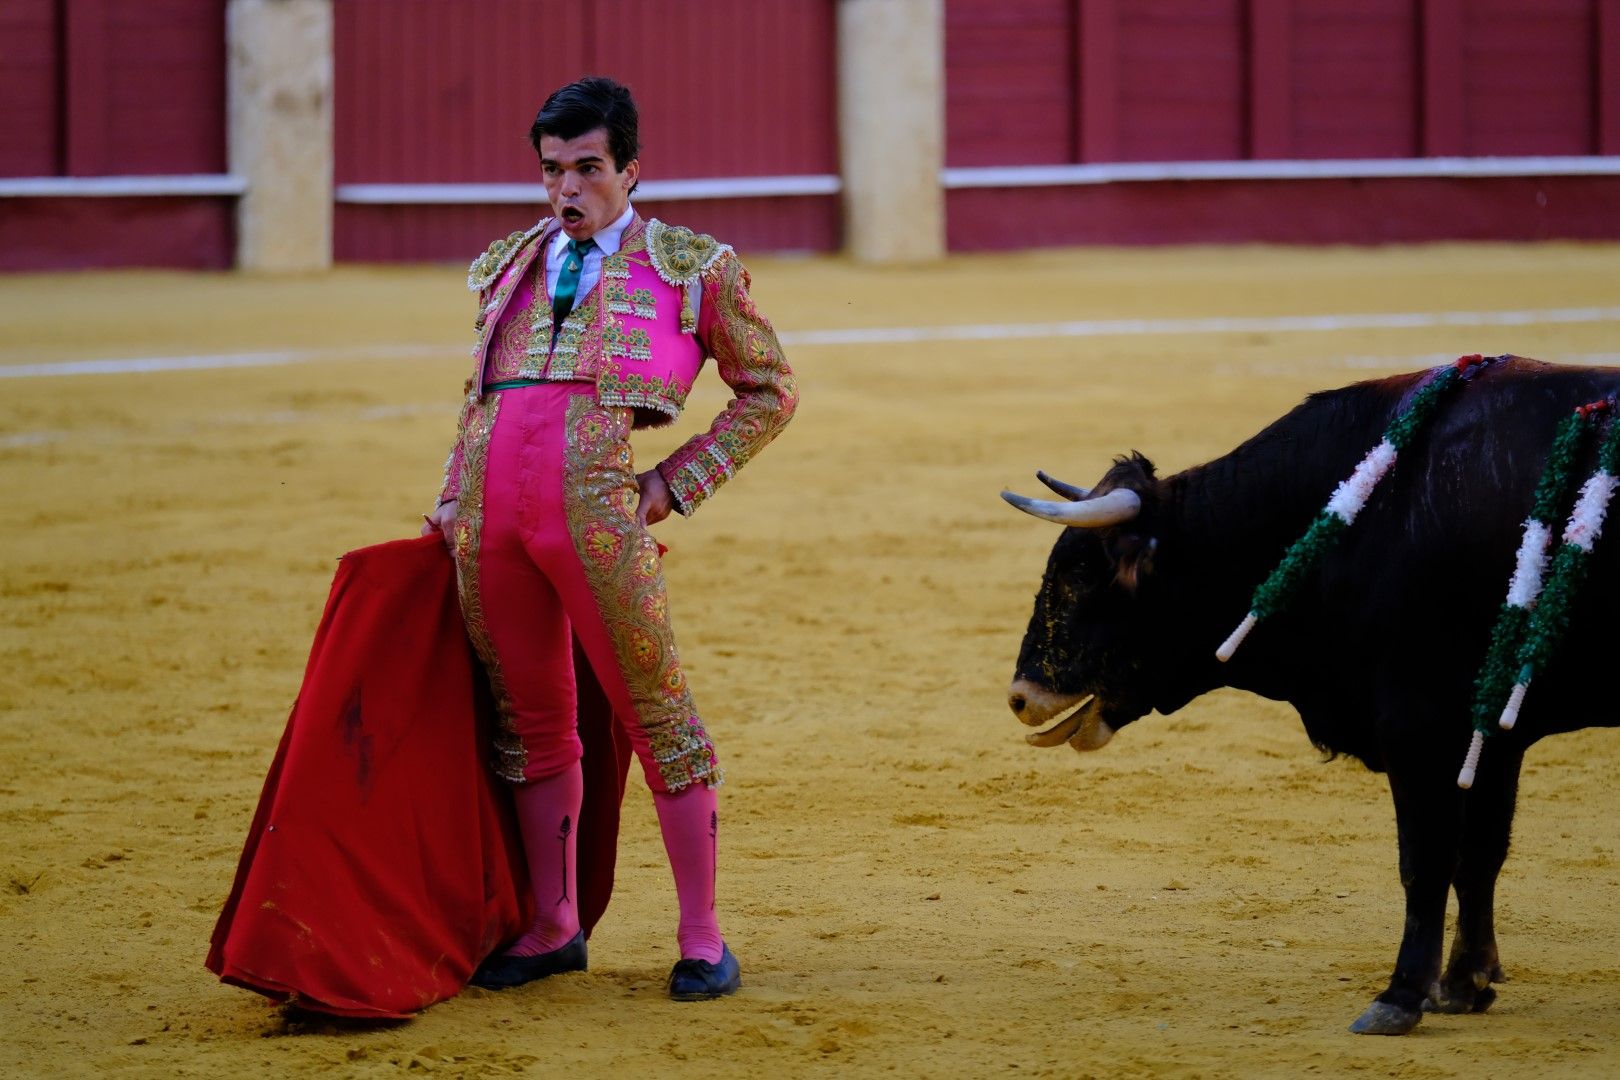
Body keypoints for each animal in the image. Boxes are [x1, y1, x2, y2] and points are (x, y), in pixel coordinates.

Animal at [997, 359, 1620, 1036]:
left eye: (1083, 572)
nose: (1019, 696)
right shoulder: (1494, 736)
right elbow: (1481, 854)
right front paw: (1464, 983)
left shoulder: (1422, 727)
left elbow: (1425, 859)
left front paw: (1401, 996)